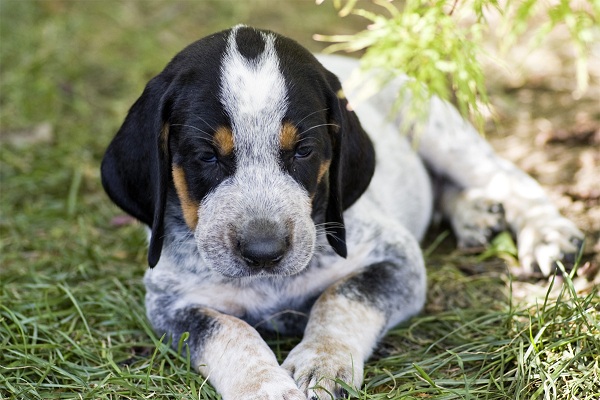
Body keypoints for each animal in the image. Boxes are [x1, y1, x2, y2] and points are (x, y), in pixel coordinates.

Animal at [101, 26, 584, 398]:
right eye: (205, 156)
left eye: (304, 150)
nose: (263, 251)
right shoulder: (170, 306)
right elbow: (230, 332)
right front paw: (265, 386)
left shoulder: (397, 261)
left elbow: (339, 298)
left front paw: (322, 364)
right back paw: (473, 216)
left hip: (436, 129)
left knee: (506, 176)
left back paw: (546, 233)